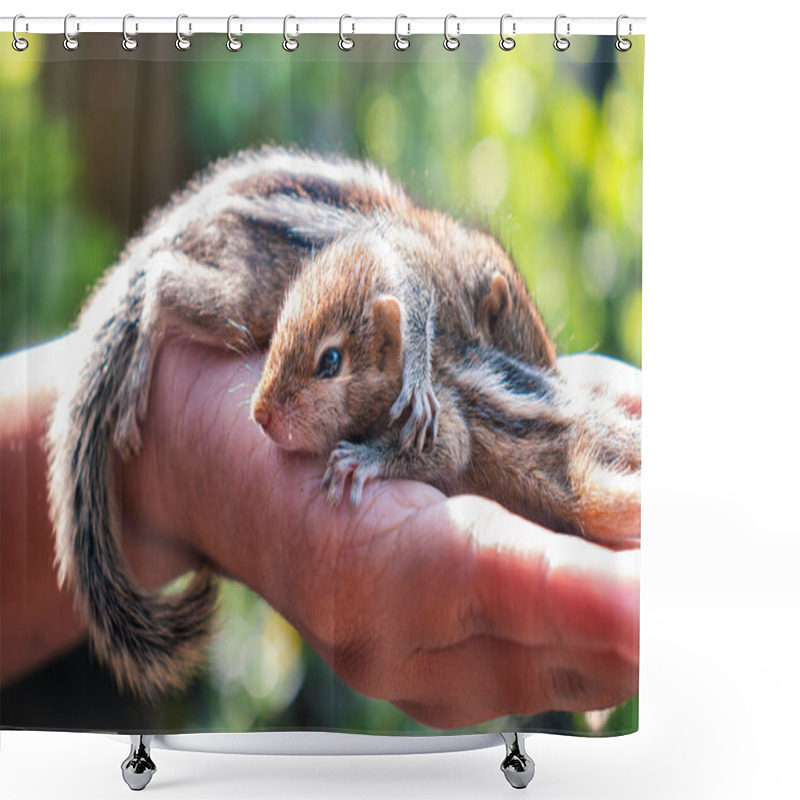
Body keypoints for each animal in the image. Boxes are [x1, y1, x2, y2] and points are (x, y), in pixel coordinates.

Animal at [48, 144, 636, 700]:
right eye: (512, 319)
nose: (549, 378)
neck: (445, 256)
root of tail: (187, 216)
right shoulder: (411, 278)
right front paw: (418, 383)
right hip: (243, 297)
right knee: (160, 285)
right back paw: (137, 372)